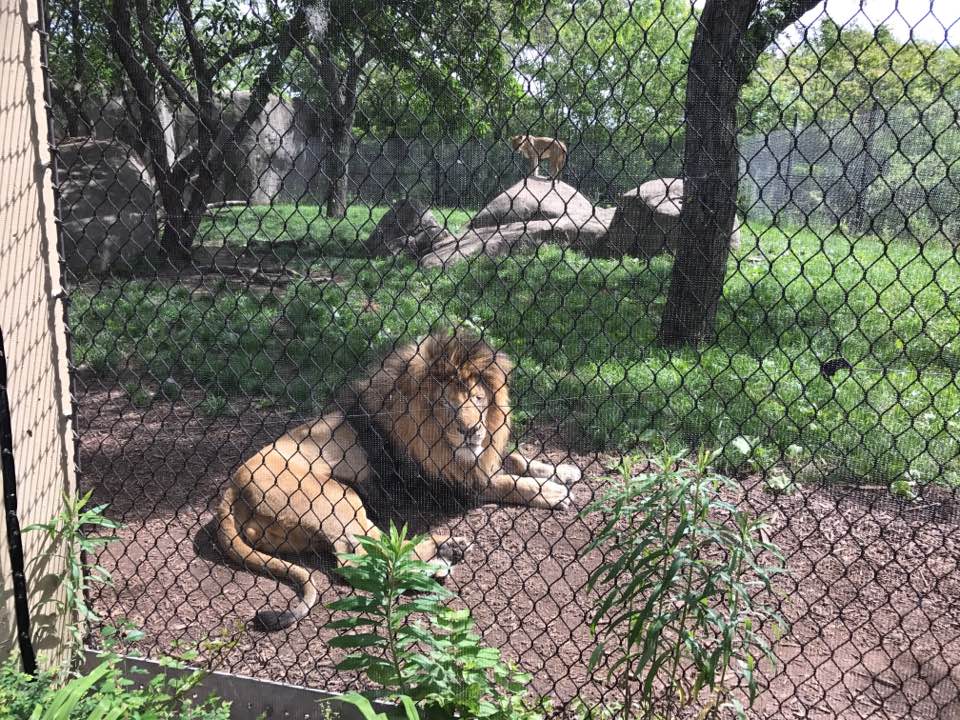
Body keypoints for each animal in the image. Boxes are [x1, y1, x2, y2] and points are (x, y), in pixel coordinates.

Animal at [216, 329, 581, 630]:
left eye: (478, 399)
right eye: (448, 405)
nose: (472, 430)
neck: (438, 440)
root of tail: (231, 489)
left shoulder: (477, 460)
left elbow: (515, 459)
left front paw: (563, 470)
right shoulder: (446, 483)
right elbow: (507, 482)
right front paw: (553, 492)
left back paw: (444, 555)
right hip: (336, 499)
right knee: (361, 556)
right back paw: (442, 558)